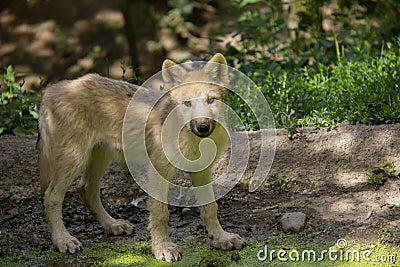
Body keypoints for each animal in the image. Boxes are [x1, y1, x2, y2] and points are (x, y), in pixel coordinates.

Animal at [39, 54, 247, 262]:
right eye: (187, 103)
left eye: (210, 100)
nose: (202, 126)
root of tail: (52, 89)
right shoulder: (159, 171)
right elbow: (161, 214)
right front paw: (162, 248)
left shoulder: (202, 172)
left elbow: (211, 208)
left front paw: (221, 238)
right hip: (74, 160)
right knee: (51, 196)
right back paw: (63, 240)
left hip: (100, 157)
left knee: (86, 189)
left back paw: (113, 225)